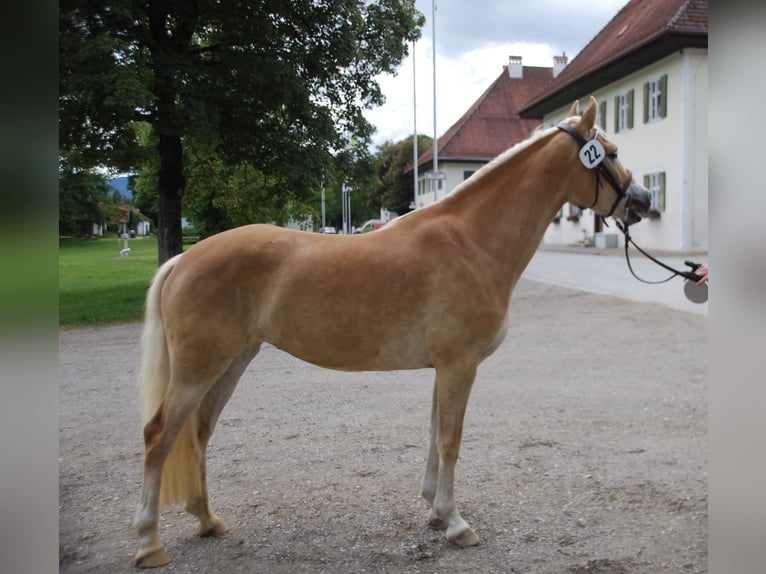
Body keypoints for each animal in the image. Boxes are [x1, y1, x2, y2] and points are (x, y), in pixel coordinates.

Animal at [135, 97, 652, 568]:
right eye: (610, 152)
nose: (644, 201)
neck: (472, 242)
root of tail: (184, 258)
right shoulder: (460, 365)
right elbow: (451, 440)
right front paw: (456, 524)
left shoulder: (445, 367)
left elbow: (435, 436)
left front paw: (436, 514)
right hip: (198, 368)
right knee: (160, 435)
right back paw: (149, 544)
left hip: (231, 362)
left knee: (198, 433)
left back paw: (208, 520)